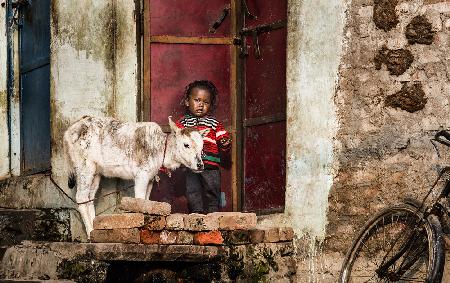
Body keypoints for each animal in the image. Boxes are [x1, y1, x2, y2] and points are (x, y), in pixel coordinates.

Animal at [63, 115, 209, 237]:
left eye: (202, 146)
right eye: (186, 145)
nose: (200, 165)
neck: (162, 151)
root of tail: (69, 131)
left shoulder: (150, 178)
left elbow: (145, 202)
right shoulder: (142, 175)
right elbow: (139, 200)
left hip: (96, 172)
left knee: (90, 198)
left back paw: (94, 229)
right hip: (84, 166)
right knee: (81, 198)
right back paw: (89, 232)